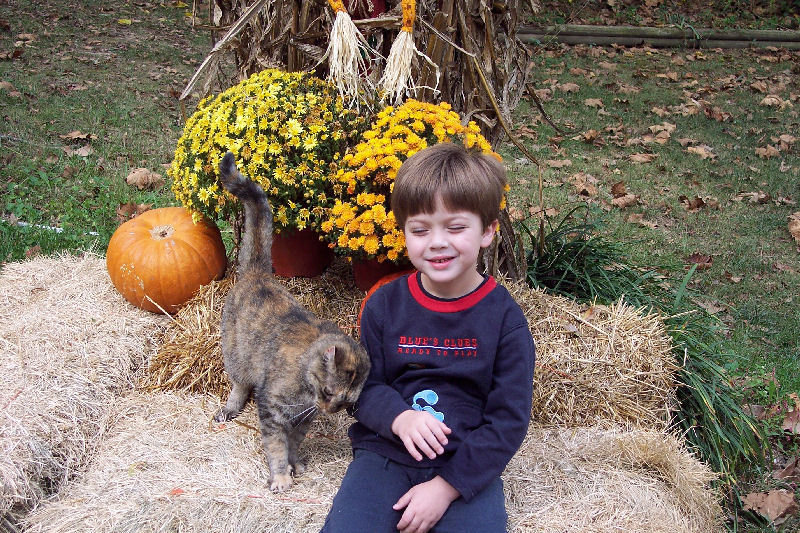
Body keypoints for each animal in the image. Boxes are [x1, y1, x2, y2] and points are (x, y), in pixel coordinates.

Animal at [215, 152, 370, 492]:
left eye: (344, 403)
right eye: (328, 392)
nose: (327, 410)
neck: (306, 393)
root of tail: (258, 273)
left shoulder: (302, 419)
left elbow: (294, 443)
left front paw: (295, 463)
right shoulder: (272, 410)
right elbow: (276, 446)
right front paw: (281, 477)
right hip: (235, 354)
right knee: (239, 383)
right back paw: (231, 408)